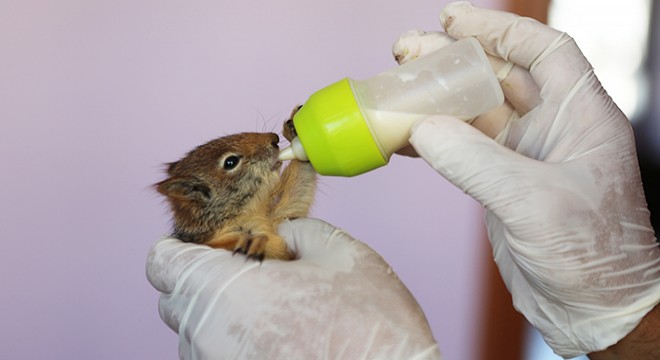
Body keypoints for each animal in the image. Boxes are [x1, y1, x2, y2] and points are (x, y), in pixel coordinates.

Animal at [157, 107, 318, 262]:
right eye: (230, 162)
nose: (274, 138)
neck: (246, 212)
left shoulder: (277, 216)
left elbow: (295, 197)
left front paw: (293, 130)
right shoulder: (209, 240)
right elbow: (221, 244)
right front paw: (249, 243)